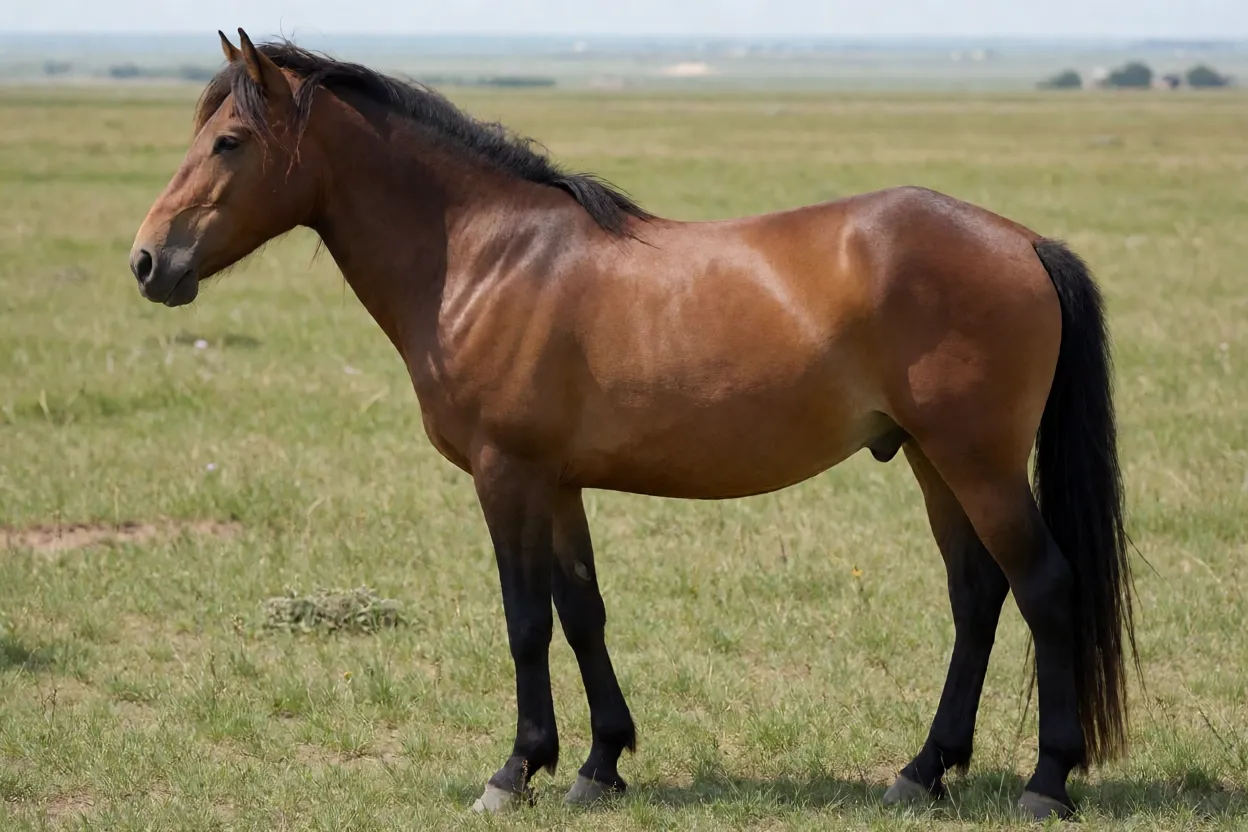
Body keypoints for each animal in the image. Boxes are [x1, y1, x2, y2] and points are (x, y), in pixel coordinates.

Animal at [129, 30, 1139, 820]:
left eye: (227, 141)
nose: (147, 261)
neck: (484, 256)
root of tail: (1022, 242)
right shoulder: (560, 482)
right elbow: (583, 613)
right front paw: (600, 763)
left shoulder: (507, 476)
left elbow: (525, 621)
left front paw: (515, 770)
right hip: (935, 462)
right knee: (977, 597)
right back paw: (921, 772)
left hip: (979, 465)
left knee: (1044, 587)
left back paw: (1046, 781)